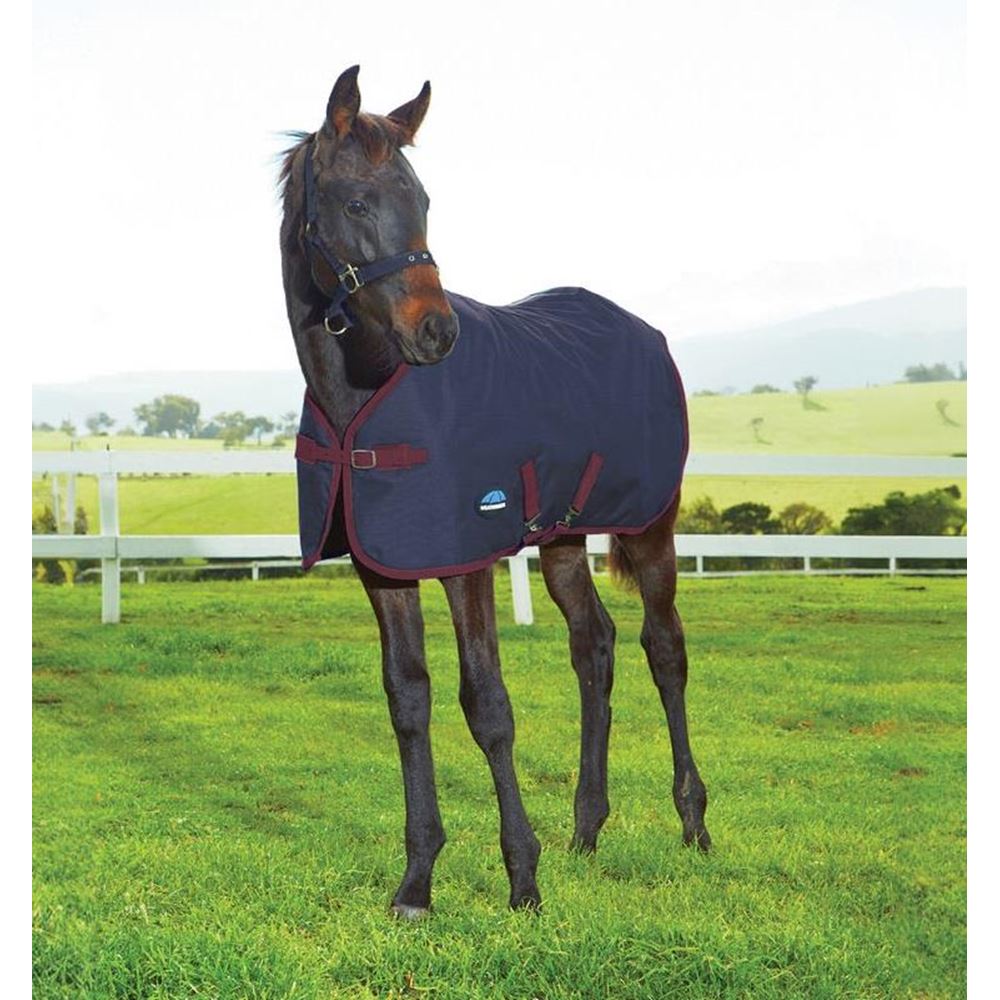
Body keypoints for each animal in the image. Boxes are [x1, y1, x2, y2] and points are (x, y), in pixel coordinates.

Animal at [277, 65, 710, 916]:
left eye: (424, 199)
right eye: (356, 202)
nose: (437, 332)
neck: (365, 397)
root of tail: (643, 331)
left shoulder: (465, 560)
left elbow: (487, 704)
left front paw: (522, 880)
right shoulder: (385, 567)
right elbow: (408, 701)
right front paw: (417, 882)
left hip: (651, 526)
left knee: (664, 648)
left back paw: (693, 823)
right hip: (566, 536)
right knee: (594, 645)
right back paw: (586, 829)